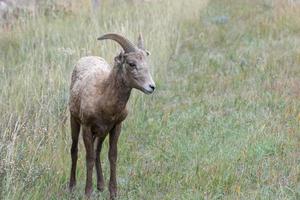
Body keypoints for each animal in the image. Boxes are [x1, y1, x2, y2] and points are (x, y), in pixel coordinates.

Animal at [67, 32, 155, 198]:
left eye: (146, 62)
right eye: (131, 63)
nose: (151, 87)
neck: (103, 96)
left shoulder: (115, 127)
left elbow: (112, 156)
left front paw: (113, 192)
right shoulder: (87, 127)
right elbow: (89, 158)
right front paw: (87, 192)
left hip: (102, 133)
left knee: (98, 151)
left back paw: (100, 186)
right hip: (74, 121)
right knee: (74, 150)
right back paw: (71, 186)